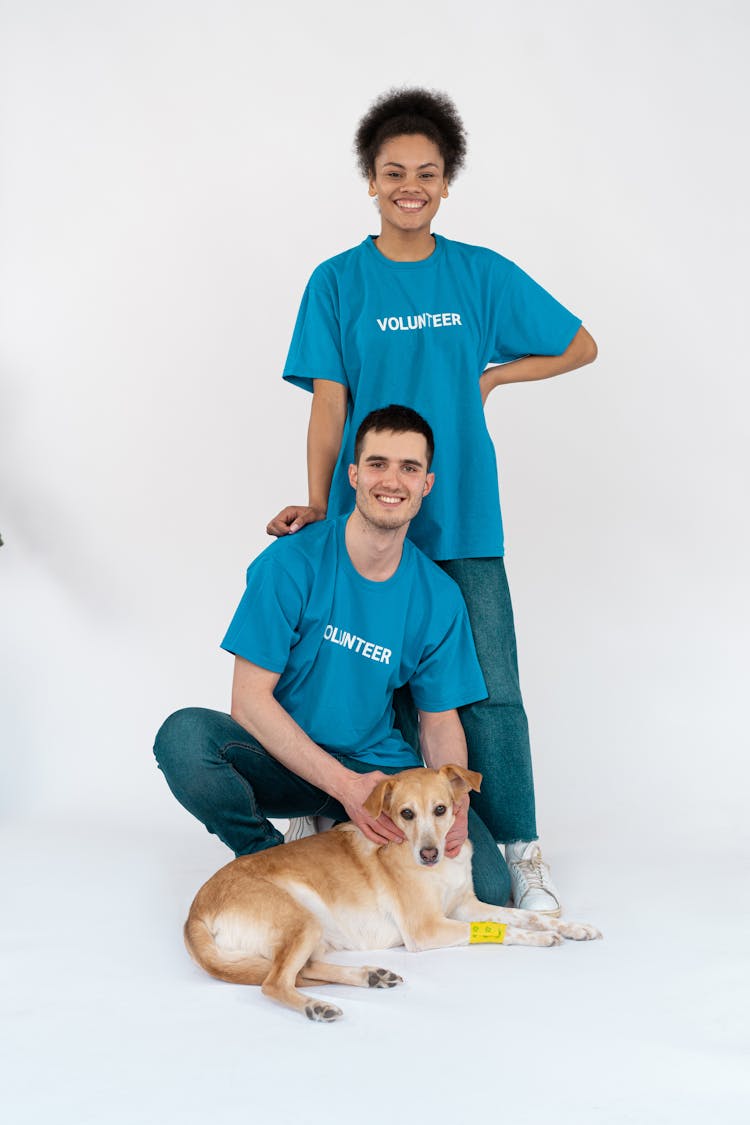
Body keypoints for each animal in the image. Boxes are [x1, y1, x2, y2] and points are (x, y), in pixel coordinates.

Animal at [184, 765, 602, 1021]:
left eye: (440, 809)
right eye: (406, 814)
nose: (429, 854)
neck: (439, 869)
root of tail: (194, 914)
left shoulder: (466, 906)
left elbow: (524, 915)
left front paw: (575, 928)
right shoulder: (427, 929)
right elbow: (509, 929)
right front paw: (542, 938)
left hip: (312, 929)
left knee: (305, 969)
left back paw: (370, 976)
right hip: (302, 918)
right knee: (274, 981)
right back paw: (317, 1007)